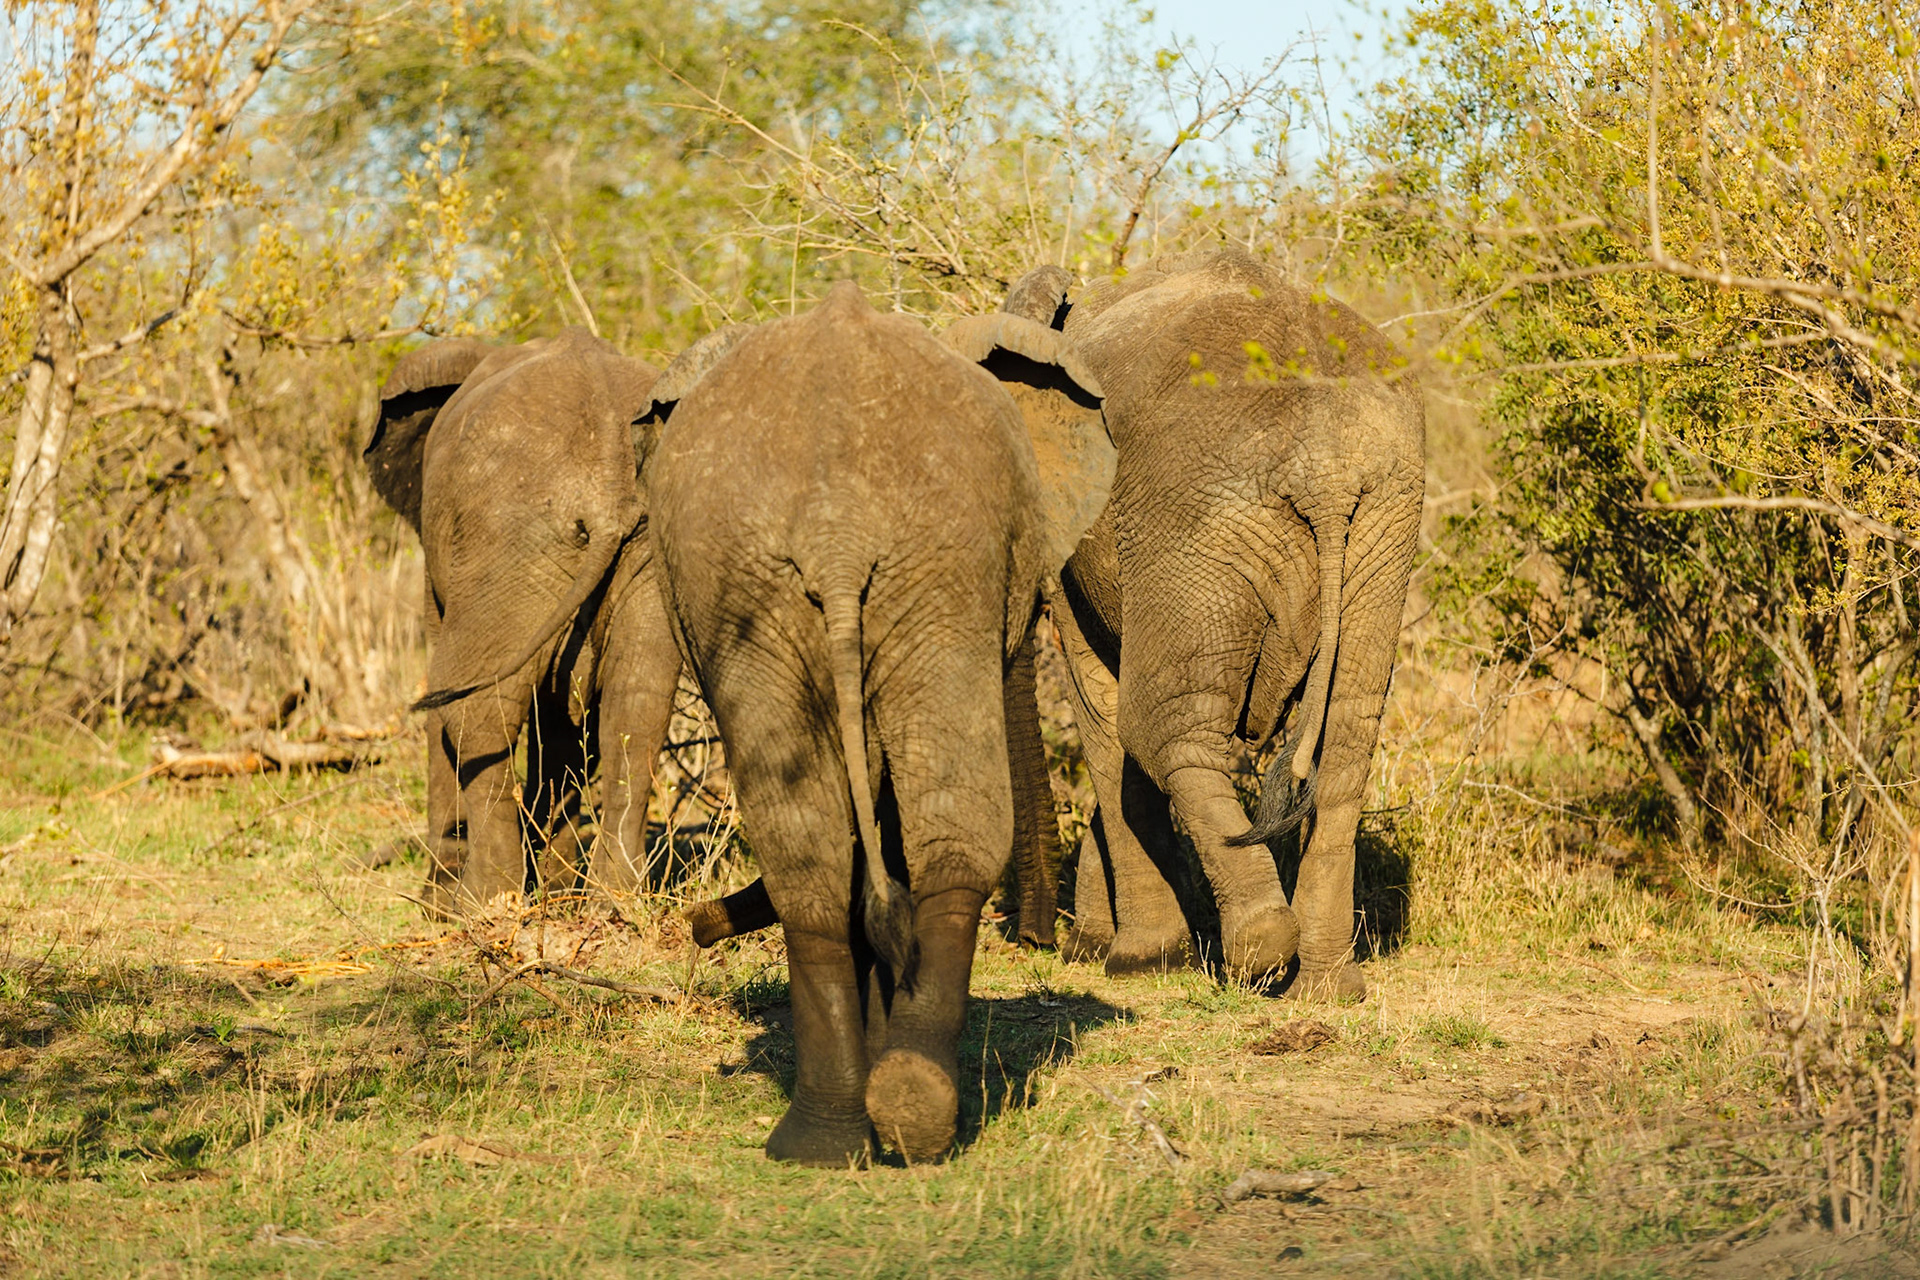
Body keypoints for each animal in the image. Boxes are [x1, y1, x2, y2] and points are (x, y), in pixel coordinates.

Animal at [365, 327, 681, 916]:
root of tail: (606, 484)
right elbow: (566, 721)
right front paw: (553, 889)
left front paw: (436, 901)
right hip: (644, 547)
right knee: (636, 706)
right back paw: (610, 903)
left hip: (508, 536)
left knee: (470, 704)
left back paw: (480, 903)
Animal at [640, 281, 1112, 1165]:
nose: (694, 924)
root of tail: (839, 525)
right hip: (878, 565)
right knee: (897, 835)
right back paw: (879, 1123)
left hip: (870, 567)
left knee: (840, 847)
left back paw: (863, 1127)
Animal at [1002, 248, 1425, 999]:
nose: (1036, 939)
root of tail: (1326, 469)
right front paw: (1101, 946)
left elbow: (1101, 714)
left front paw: (1136, 961)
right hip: (1382, 517)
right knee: (1347, 739)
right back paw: (1327, 987)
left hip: (1194, 519)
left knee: (1163, 729)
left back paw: (1256, 953)